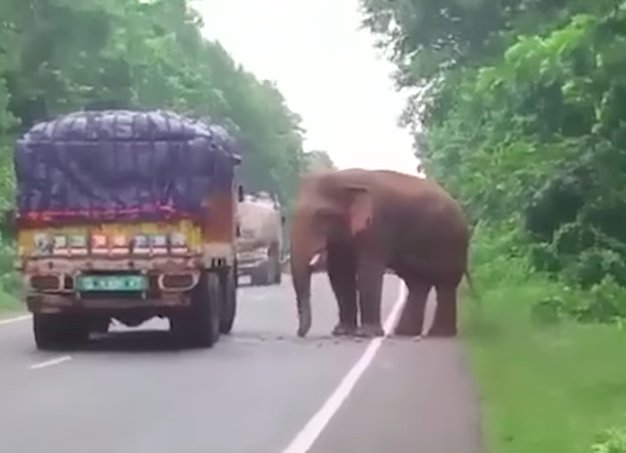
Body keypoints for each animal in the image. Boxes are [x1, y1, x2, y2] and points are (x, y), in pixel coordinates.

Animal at [288, 170, 468, 340]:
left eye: (323, 215)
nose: (299, 333)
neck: (345, 178)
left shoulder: (377, 225)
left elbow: (368, 270)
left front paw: (366, 334)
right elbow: (340, 272)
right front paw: (342, 332)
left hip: (452, 245)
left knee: (445, 284)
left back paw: (439, 334)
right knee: (418, 284)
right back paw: (404, 333)